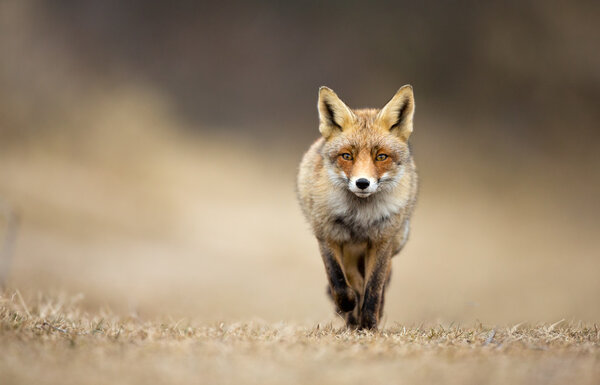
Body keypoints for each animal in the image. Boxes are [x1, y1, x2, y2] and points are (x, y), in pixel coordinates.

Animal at [298, 85, 420, 328]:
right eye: (347, 156)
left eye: (381, 156)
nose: (362, 183)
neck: (359, 217)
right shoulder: (327, 236)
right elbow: (337, 280)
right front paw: (347, 306)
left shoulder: (382, 241)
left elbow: (374, 288)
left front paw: (370, 325)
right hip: (349, 251)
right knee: (352, 279)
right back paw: (350, 317)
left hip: (395, 241)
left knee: (378, 283)